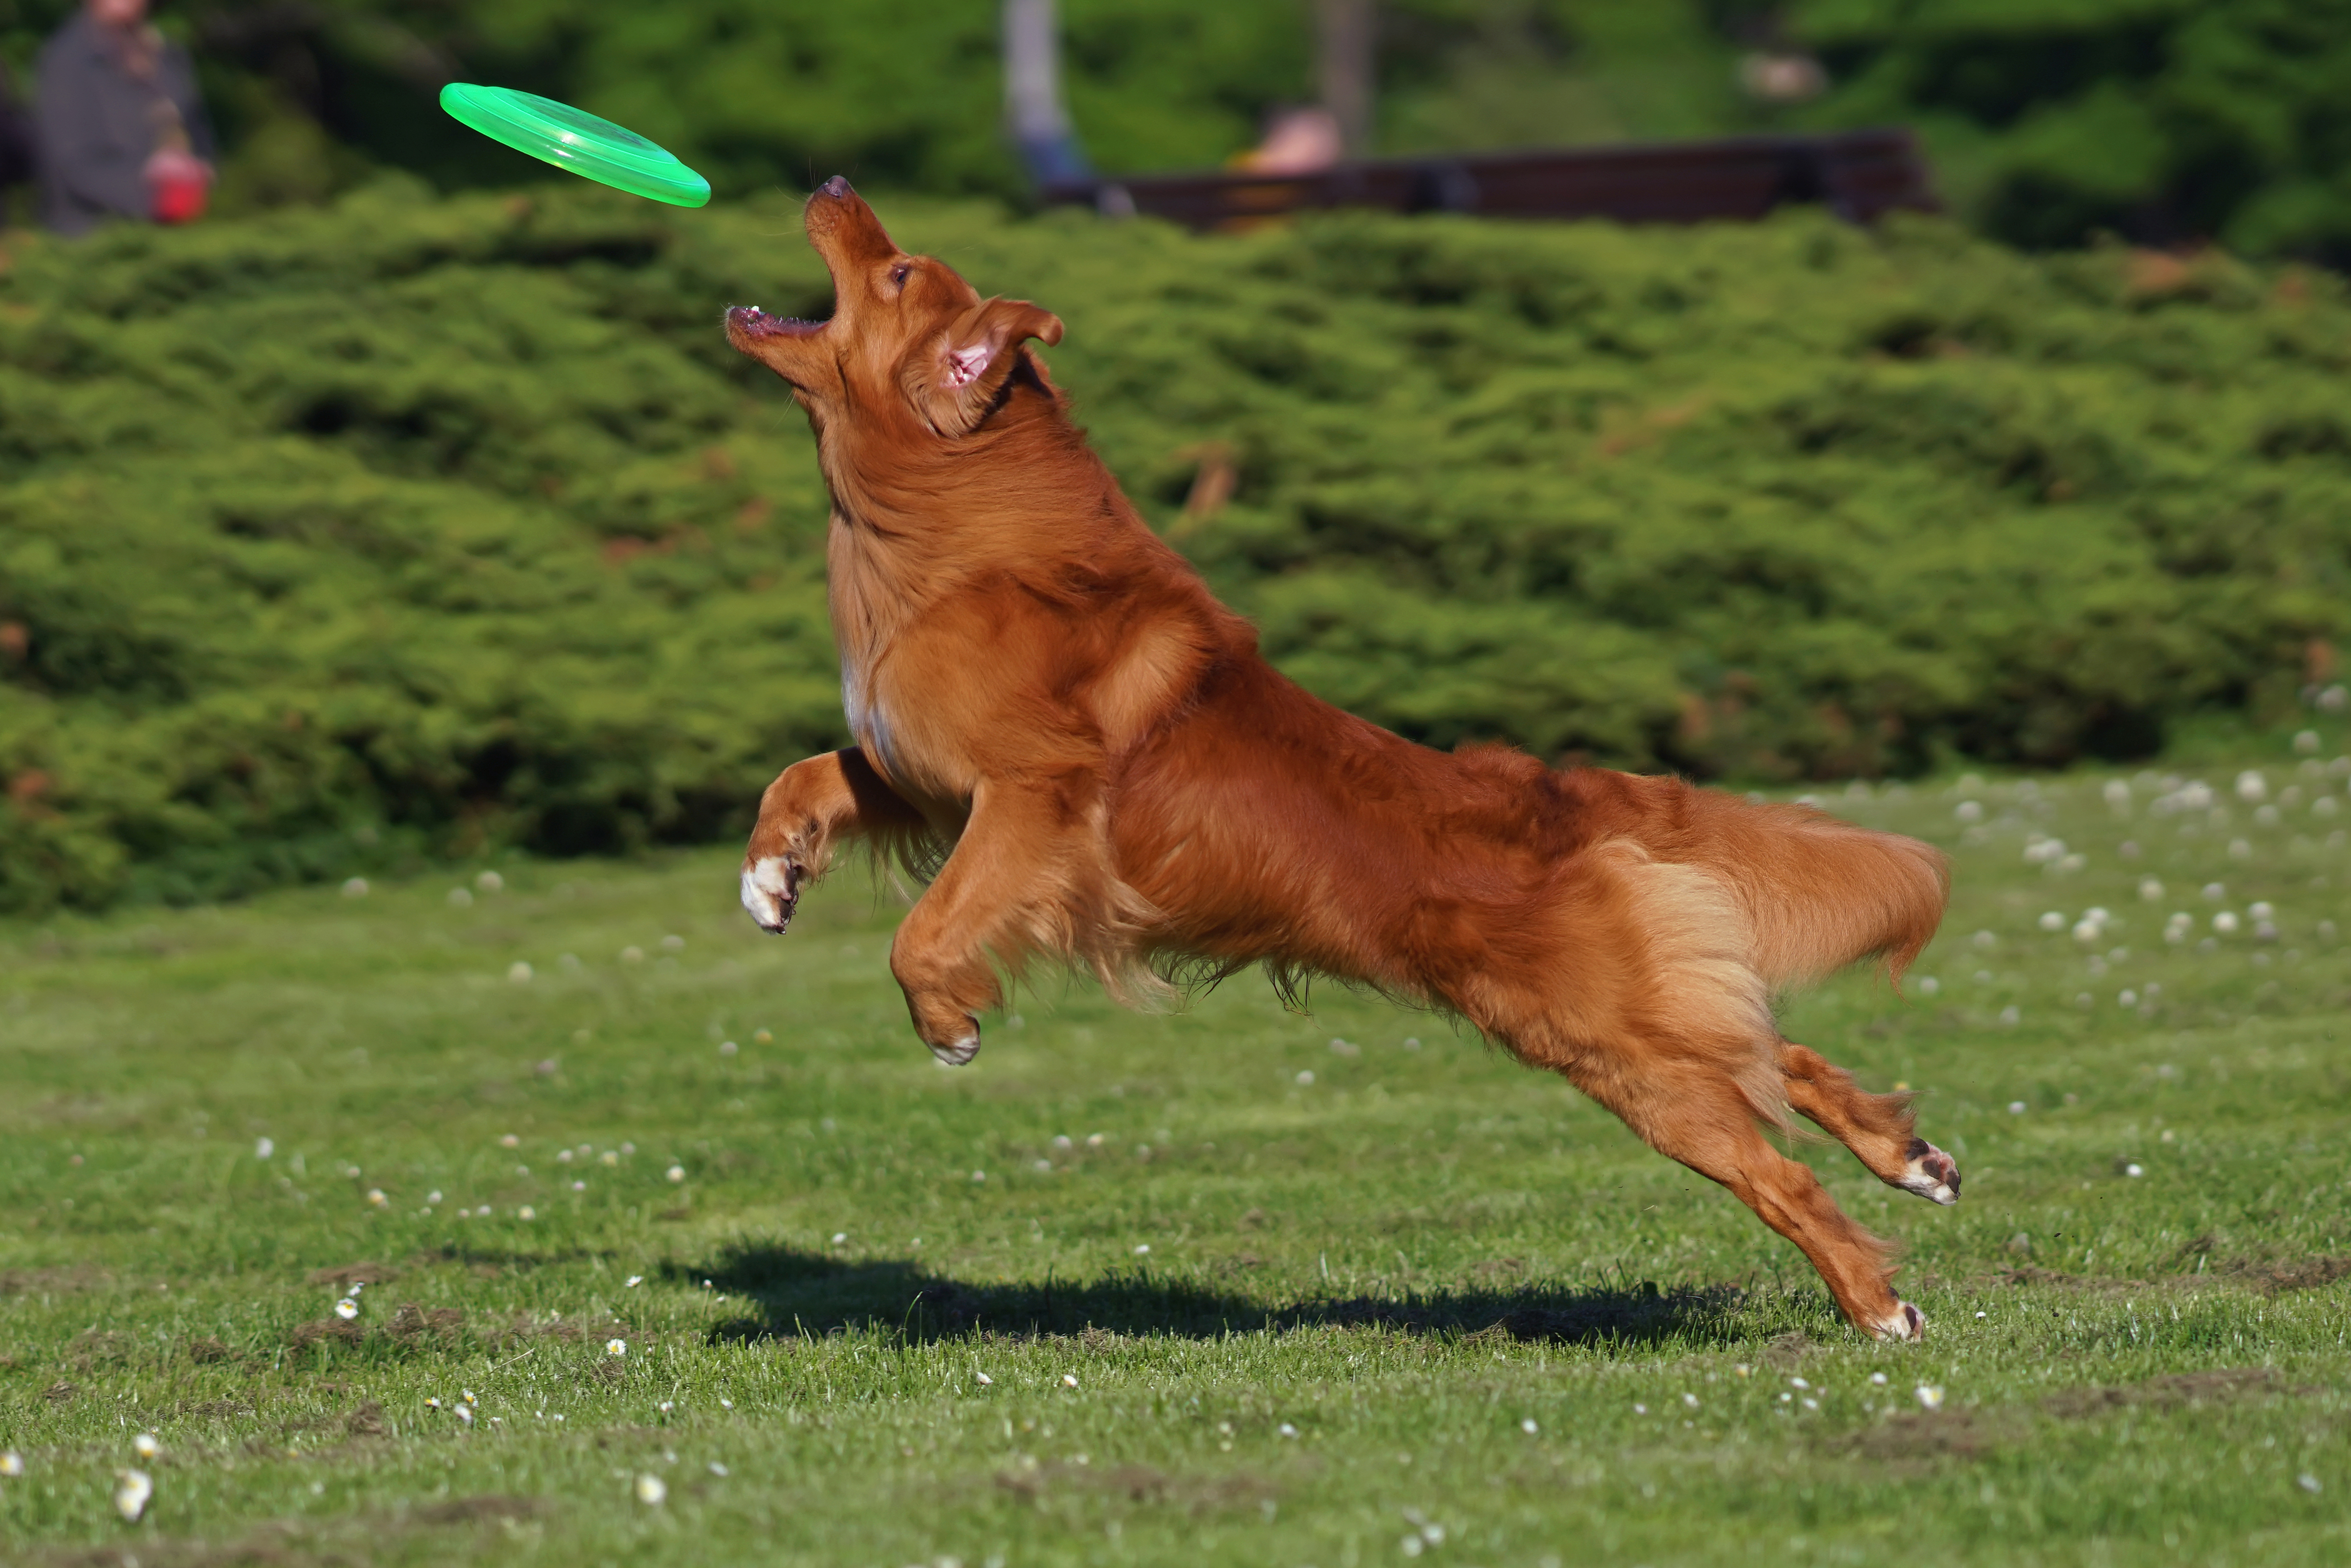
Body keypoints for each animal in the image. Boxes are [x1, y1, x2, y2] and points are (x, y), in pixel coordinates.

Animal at [724, 181, 1956, 1335]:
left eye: (896, 273)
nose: (831, 186)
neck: (956, 532)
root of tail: (1559, 799)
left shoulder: (1032, 799)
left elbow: (922, 933)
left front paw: (949, 1025)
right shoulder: (923, 778)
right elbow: (808, 775)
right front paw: (771, 874)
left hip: (1622, 1049)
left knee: (1774, 1161)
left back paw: (1875, 1304)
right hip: (1637, 1018)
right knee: (1768, 1049)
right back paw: (1908, 1157)